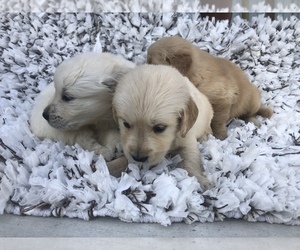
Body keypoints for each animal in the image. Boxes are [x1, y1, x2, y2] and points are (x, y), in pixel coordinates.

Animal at [146, 36, 274, 140]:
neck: (196, 74)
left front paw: (220, 135)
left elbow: (217, 120)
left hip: (253, 99)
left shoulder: (222, 98)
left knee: (250, 112)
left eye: (153, 63)